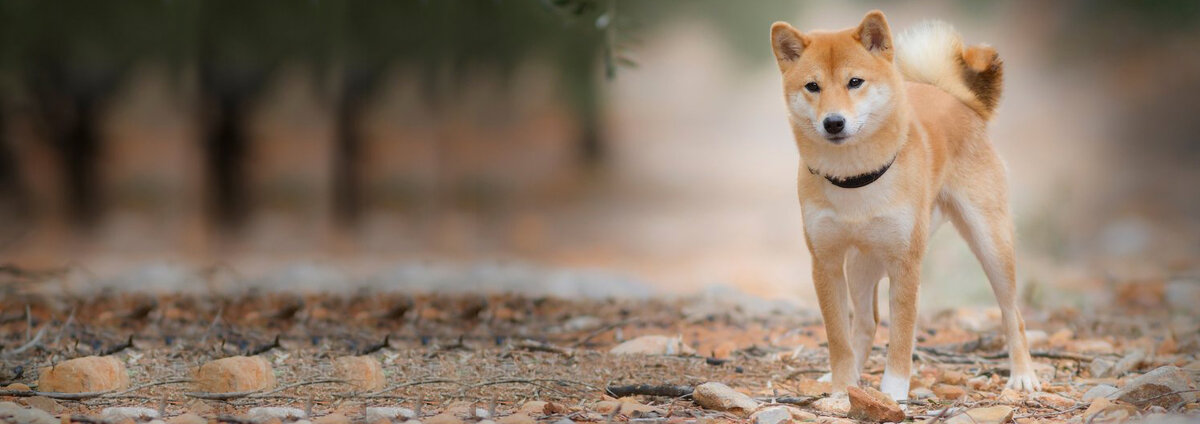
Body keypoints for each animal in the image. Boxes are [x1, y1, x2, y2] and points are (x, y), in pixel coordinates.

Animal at [768, 9, 1041, 398]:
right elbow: (838, 338)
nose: (833, 122)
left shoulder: (905, 263)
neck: (855, 178)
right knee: (866, 323)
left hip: (991, 244)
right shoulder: (826, 263)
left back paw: (1023, 375)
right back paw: (850, 378)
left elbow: (901, 335)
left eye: (855, 82)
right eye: (812, 86)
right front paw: (841, 388)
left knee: (1011, 312)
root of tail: (955, 98)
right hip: (861, 264)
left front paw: (894, 391)